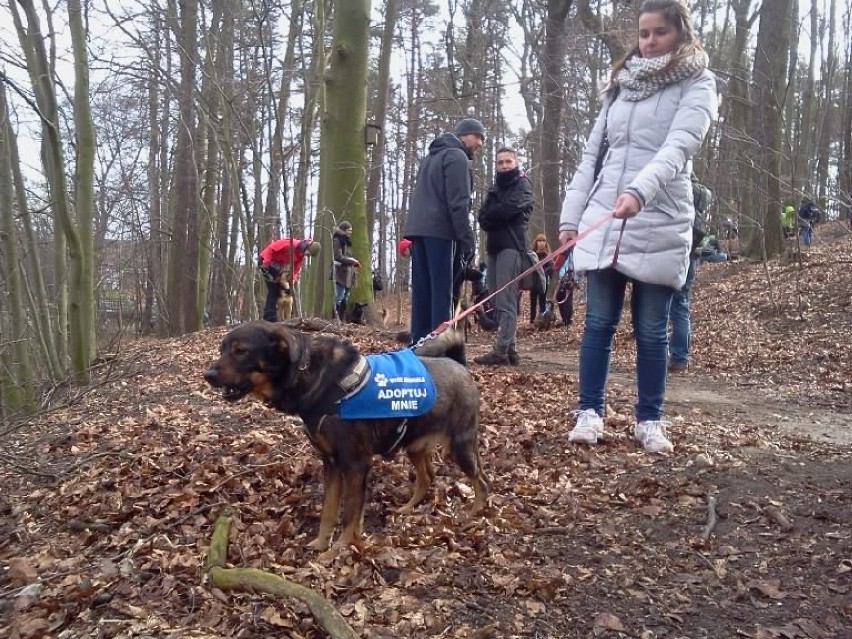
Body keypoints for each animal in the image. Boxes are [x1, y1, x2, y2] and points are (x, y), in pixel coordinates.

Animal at [202, 322, 490, 552]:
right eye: (222, 349)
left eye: (241, 350)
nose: (208, 375)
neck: (314, 378)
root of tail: (458, 364)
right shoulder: (331, 463)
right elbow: (329, 511)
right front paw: (321, 543)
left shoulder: (355, 464)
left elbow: (351, 513)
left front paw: (338, 549)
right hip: (415, 445)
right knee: (428, 477)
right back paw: (408, 508)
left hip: (460, 445)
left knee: (482, 482)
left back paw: (474, 514)